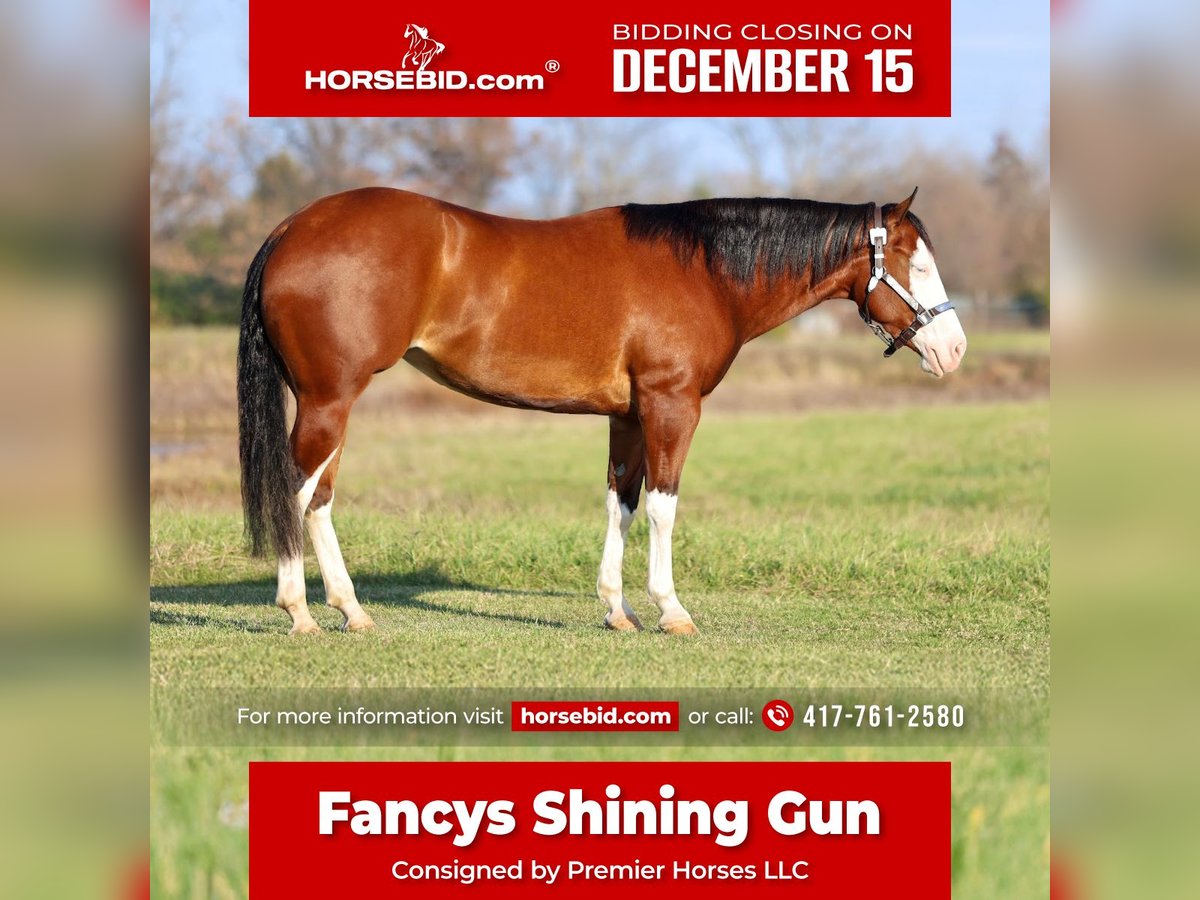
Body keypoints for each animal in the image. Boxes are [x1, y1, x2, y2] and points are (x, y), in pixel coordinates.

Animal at [237, 188, 966, 636]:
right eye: (914, 263)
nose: (954, 349)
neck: (703, 270)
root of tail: (290, 228)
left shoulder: (628, 416)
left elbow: (624, 501)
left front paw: (618, 609)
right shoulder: (672, 404)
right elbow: (665, 506)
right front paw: (671, 609)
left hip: (330, 403)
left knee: (318, 499)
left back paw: (351, 611)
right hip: (331, 399)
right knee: (293, 492)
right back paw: (300, 613)